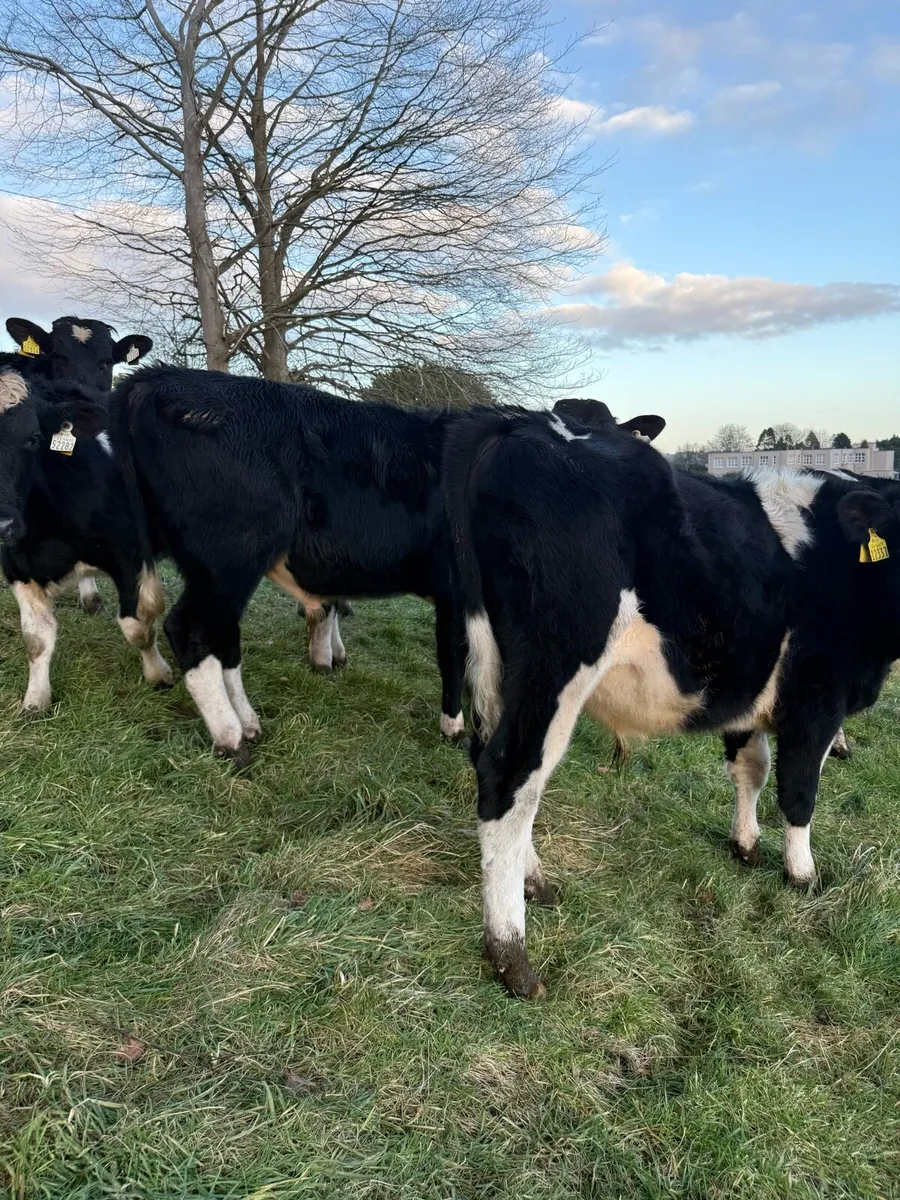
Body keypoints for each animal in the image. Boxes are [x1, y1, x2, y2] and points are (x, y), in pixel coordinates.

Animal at [0, 370, 171, 712]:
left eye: (33, 438)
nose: (0, 523)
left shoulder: (129, 553)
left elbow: (140, 623)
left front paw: (158, 675)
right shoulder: (16, 564)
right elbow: (35, 639)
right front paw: (35, 701)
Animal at [109, 367, 665, 766]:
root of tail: (155, 379)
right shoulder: (457, 592)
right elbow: (455, 657)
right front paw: (456, 726)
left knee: (219, 638)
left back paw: (245, 721)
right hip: (229, 556)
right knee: (191, 629)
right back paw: (230, 736)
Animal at [444, 406, 900, 998]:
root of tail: (520, 423)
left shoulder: (750, 694)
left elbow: (752, 768)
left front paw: (746, 844)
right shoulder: (818, 698)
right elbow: (799, 790)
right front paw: (802, 873)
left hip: (494, 666)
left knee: (498, 768)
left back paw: (533, 880)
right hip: (556, 666)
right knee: (510, 776)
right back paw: (511, 954)